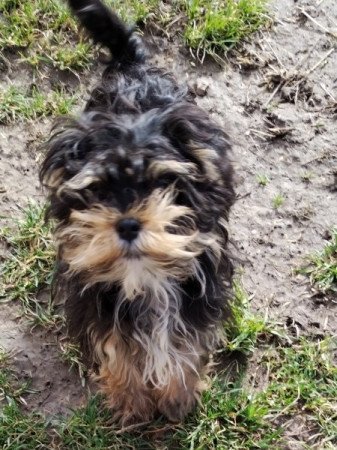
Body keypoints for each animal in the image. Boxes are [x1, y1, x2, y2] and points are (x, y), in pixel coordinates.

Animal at [38, 0, 234, 424]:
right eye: (98, 189)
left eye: (162, 183)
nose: (128, 223)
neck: (143, 273)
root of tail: (130, 63)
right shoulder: (95, 299)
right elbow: (118, 349)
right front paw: (132, 401)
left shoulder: (199, 292)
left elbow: (185, 346)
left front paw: (177, 397)